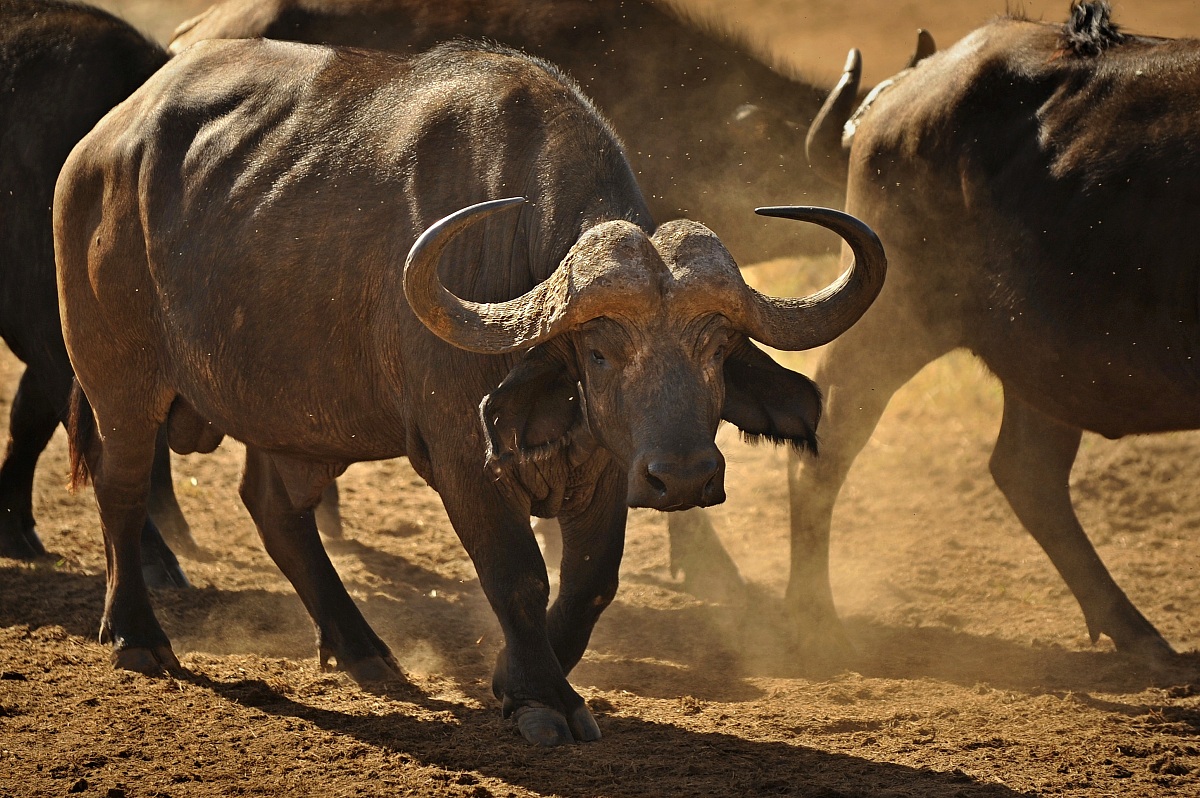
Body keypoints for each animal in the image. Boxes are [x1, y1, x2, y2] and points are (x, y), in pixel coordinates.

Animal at [55, 39, 884, 744]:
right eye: (600, 350)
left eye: (715, 349)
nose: (682, 477)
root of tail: (99, 150)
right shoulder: (461, 457)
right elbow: (516, 575)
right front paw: (542, 699)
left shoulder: (607, 467)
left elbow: (590, 583)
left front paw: (517, 679)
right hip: (120, 383)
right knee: (122, 489)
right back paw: (137, 635)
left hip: (301, 421)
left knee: (274, 508)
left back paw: (363, 649)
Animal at [794, 0, 1197, 662]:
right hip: (892, 318)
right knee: (826, 446)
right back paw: (815, 622)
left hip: (1045, 366)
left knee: (1027, 473)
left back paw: (1137, 633)